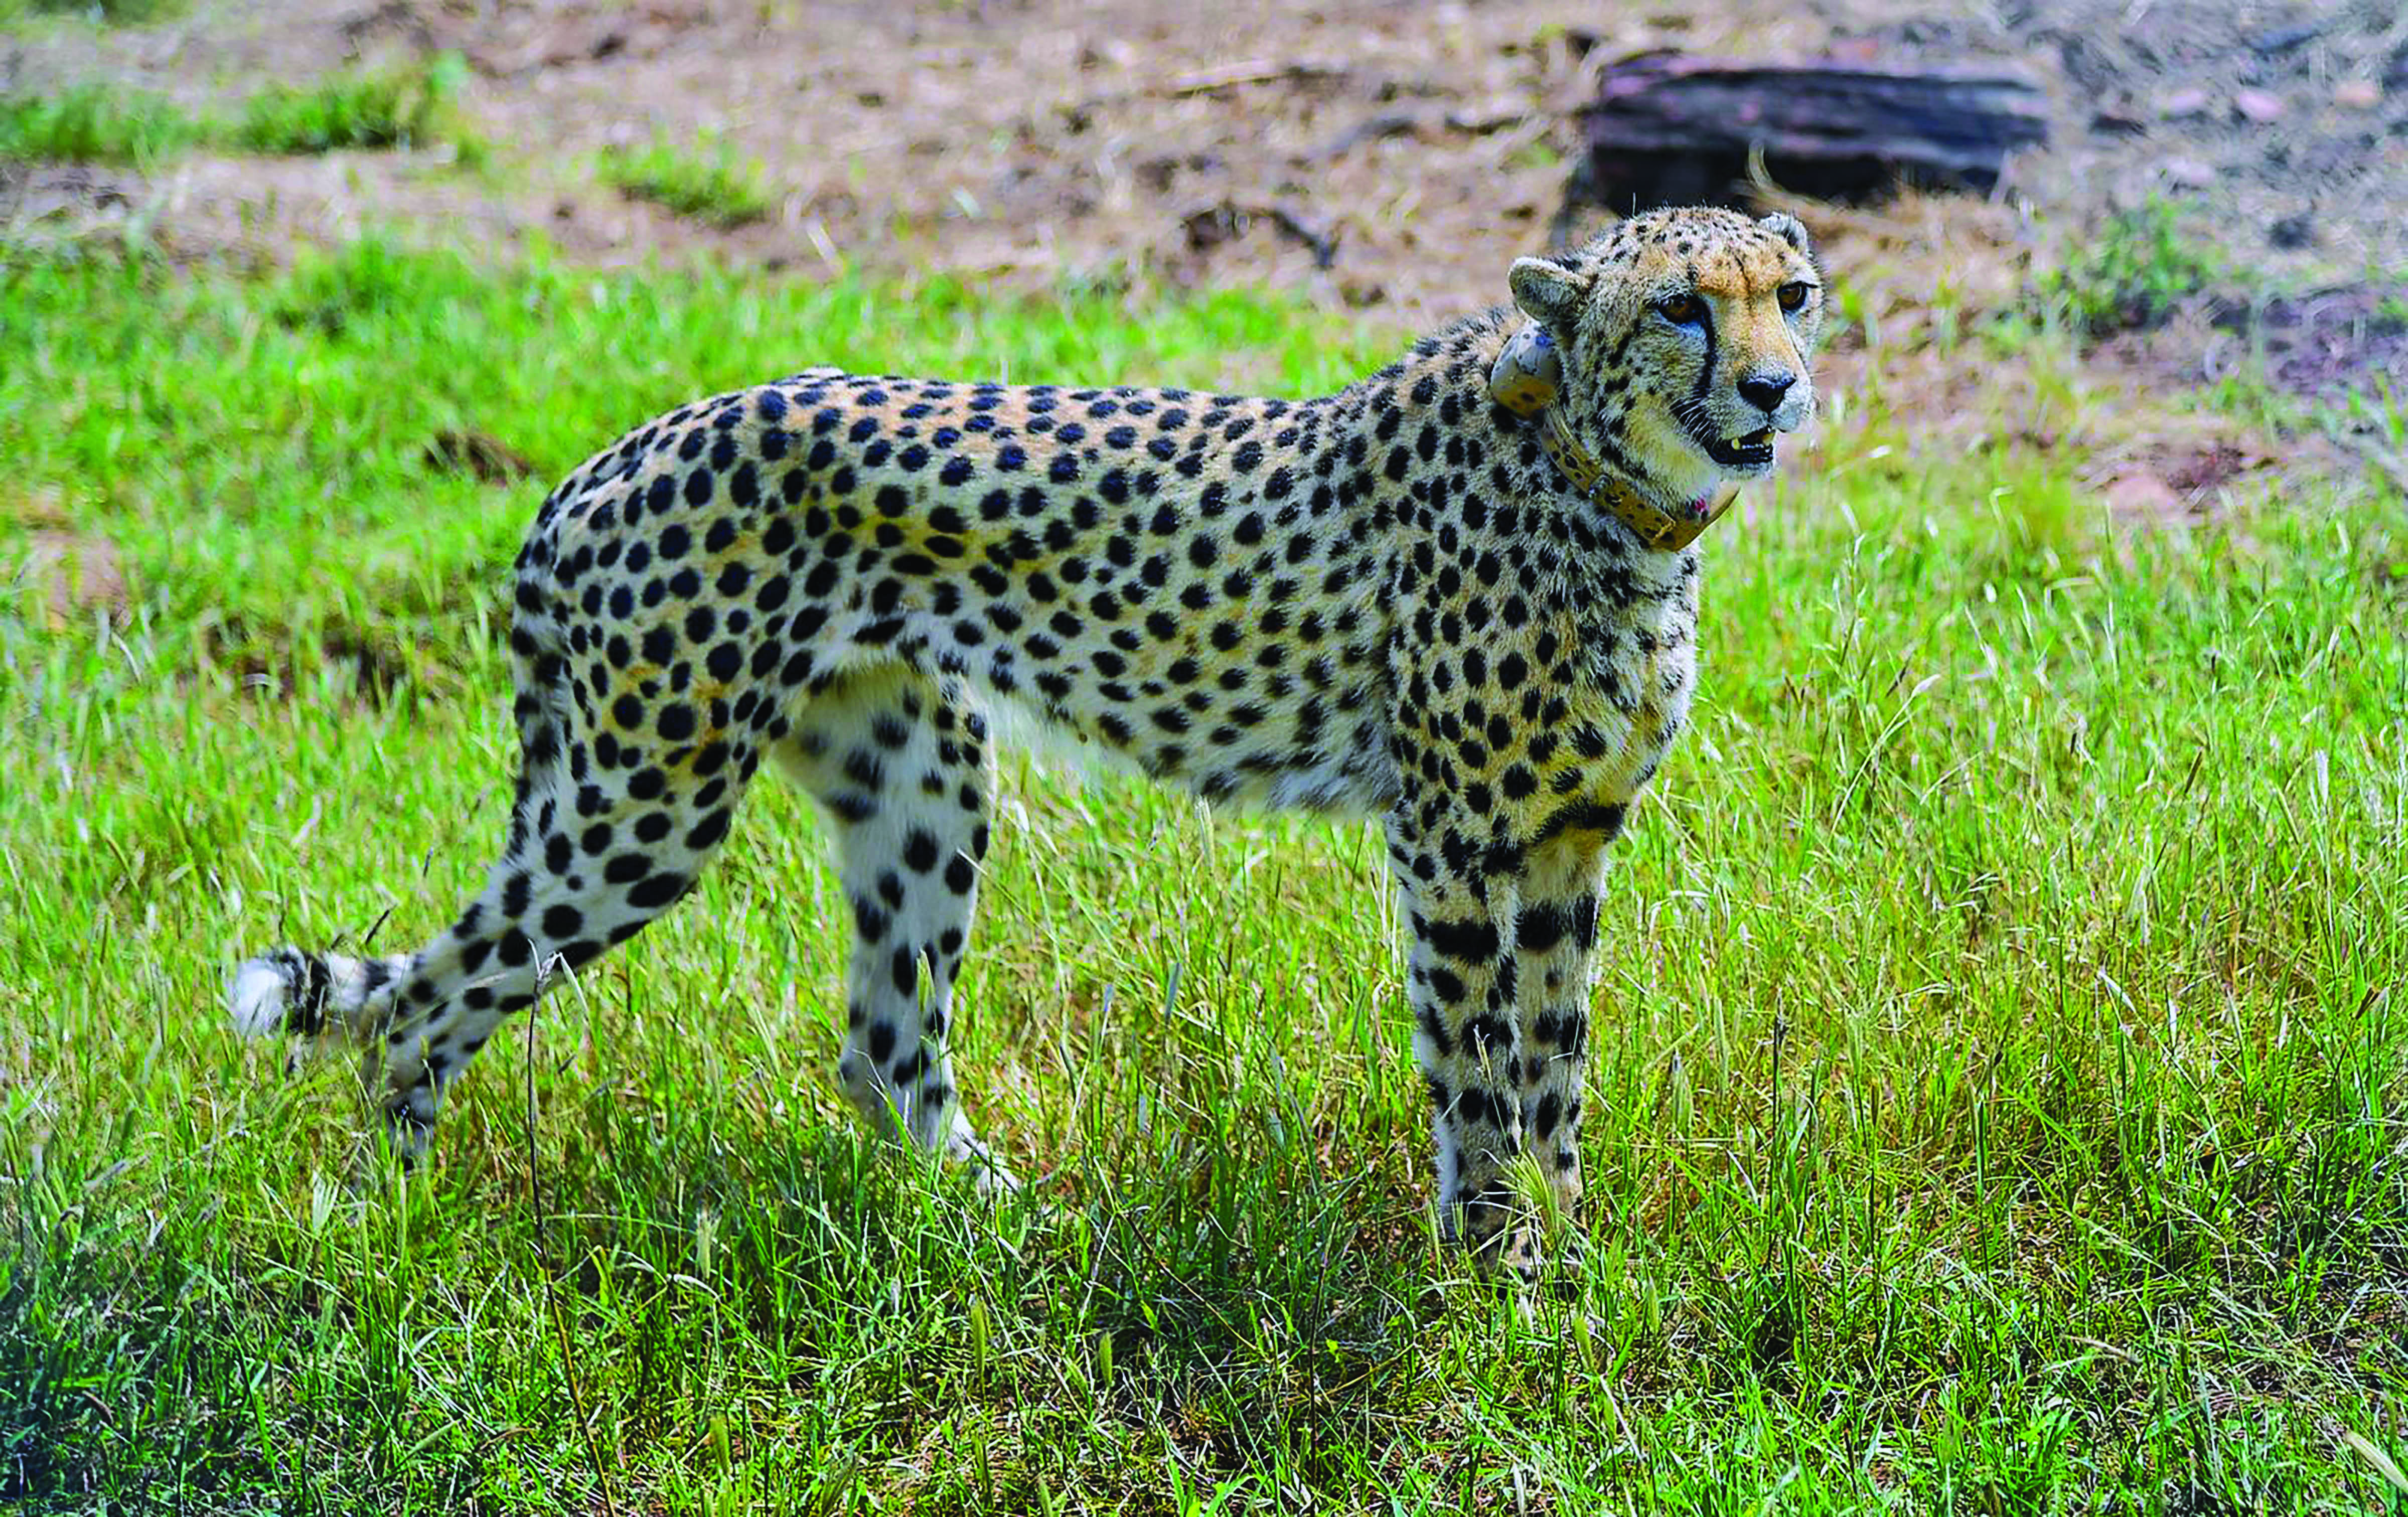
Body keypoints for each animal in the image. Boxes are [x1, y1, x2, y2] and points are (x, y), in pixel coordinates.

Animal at [227, 204, 1826, 1279]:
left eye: (1793, 295)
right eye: (1682, 308)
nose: (1774, 387)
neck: (1609, 493)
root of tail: (607, 458)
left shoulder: (1566, 841)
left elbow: (1556, 1070)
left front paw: (1570, 1263)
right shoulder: (1450, 843)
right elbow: (1480, 1075)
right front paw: (1498, 1274)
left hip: (917, 778)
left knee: (883, 1042)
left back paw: (1004, 1229)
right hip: (645, 803)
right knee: (430, 1002)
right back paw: (380, 1227)